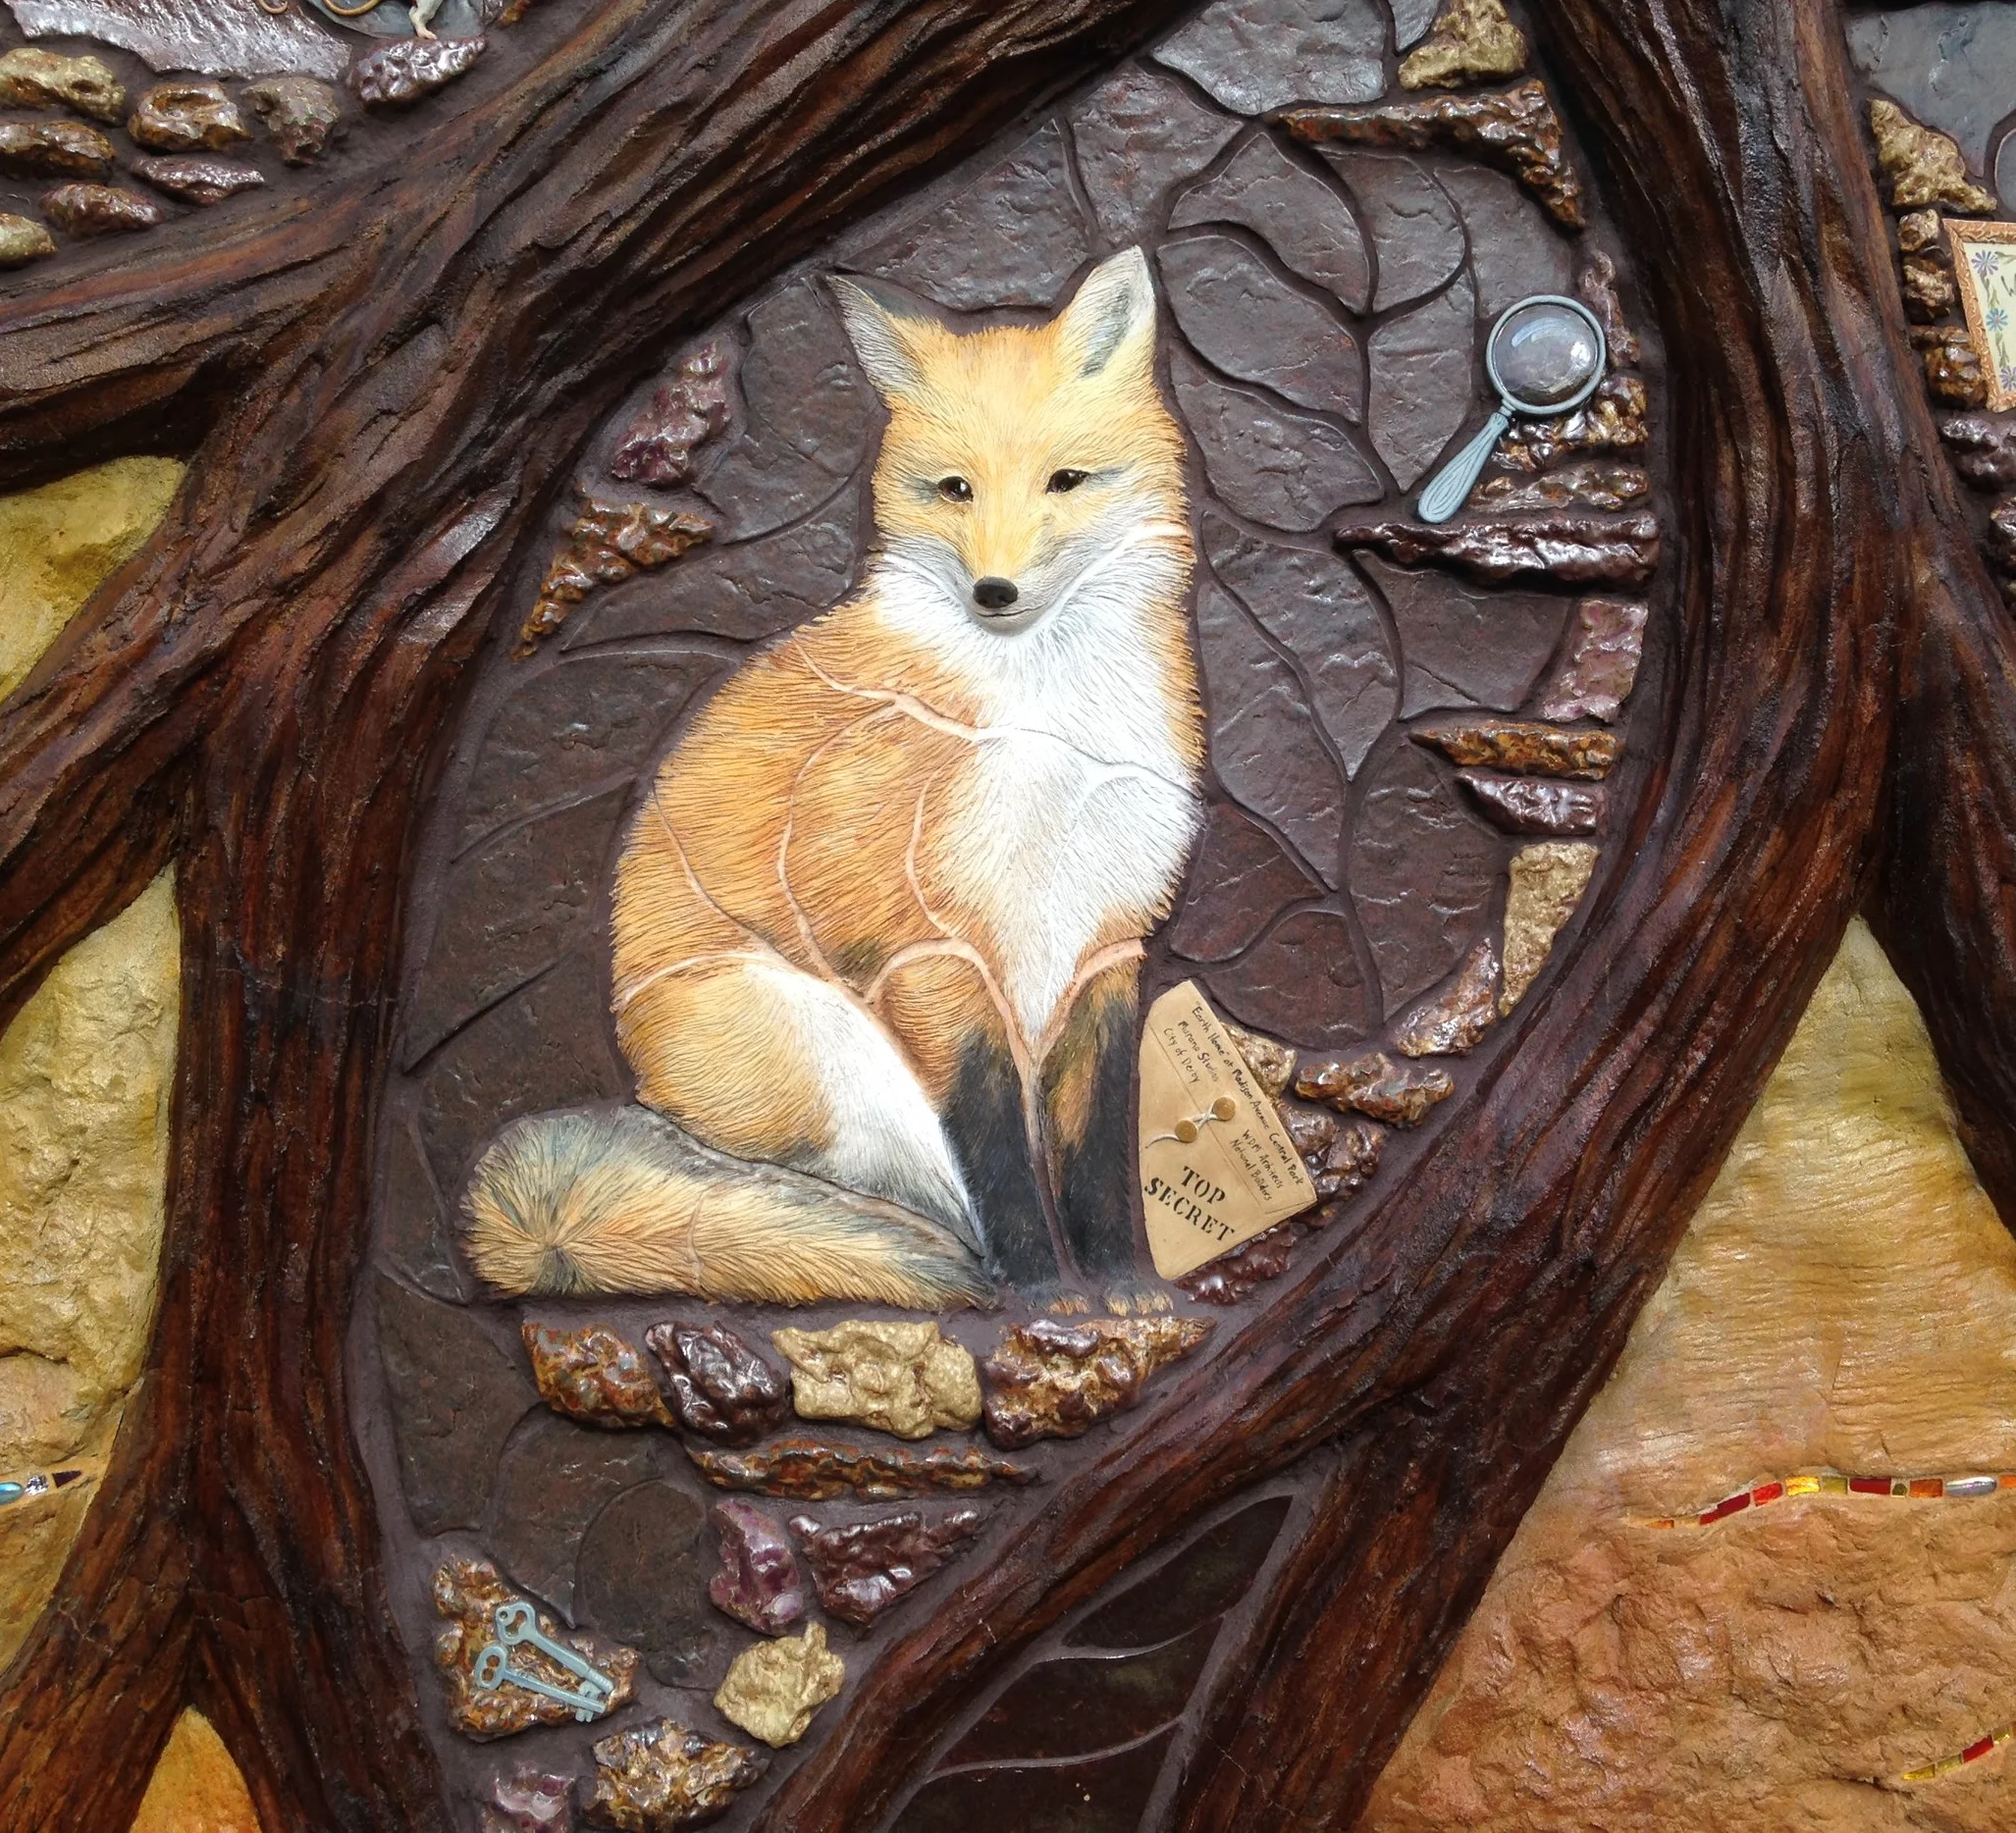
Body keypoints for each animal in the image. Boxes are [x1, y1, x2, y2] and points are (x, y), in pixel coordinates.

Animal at [462, 246, 1205, 1310]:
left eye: (1066, 480)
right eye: (953, 489)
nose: (994, 592)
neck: (1046, 725)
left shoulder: (1102, 944)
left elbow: (1094, 1147)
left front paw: (1122, 1285)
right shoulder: (923, 949)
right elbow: (999, 1156)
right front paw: (1043, 1291)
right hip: (840, 1056)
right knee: (910, 1200)